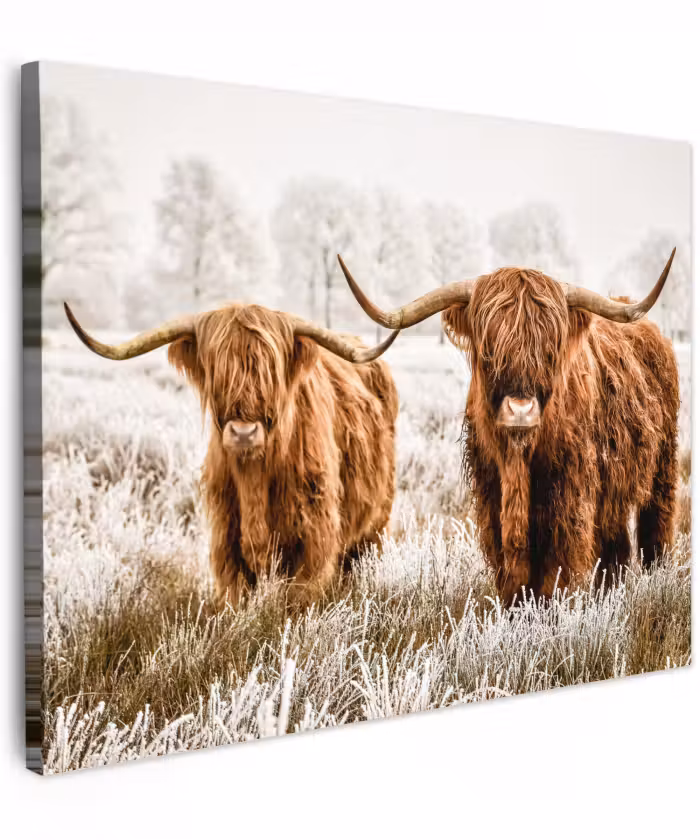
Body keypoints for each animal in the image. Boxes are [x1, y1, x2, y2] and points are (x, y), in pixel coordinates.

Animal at [64, 302, 400, 607]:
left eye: (270, 370)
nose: (243, 433)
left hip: (376, 524)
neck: (254, 478)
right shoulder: (226, 539)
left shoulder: (314, 537)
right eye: (217, 370)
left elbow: (298, 600)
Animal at [337, 250, 680, 604]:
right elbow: (510, 564)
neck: (519, 459)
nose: (520, 410)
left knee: (657, 525)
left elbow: (557, 564)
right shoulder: (491, 494)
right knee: (616, 543)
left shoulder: (569, 495)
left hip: (663, 465)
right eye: (489, 351)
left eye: (549, 352)